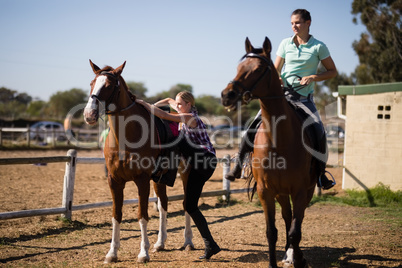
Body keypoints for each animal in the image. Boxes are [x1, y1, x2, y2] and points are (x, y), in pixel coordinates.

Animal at [83, 59, 193, 262]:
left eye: (109, 86)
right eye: (92, 83)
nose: (89, 114)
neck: (125, 138)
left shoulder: (142, 180)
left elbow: (142, 215)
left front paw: (143, 252)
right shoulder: (114, 181)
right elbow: (116, 215)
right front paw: (112, 252)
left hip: (186, 173)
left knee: (186, 203)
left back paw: (188, 241)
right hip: (159, 179)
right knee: (163, 204)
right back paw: (160, 243)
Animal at [220, 38, 318, 268]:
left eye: (257, 69)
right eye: (239, 67)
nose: (227, 95)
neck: (279, 140)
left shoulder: (300, 191)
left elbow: (295, 232)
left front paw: (298, 258)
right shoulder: (266, 191)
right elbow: (271, 232)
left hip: (306, 190)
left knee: (296, 221)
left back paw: (295, 255)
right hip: (281, 193)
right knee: (287, 216)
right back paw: (288, 253)